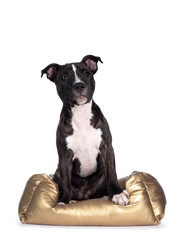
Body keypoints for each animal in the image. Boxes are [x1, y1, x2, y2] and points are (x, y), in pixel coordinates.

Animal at [41, 55, 129, 205]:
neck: (80, 113)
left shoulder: (106, 147)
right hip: (57, 174)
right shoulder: (65, 155)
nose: (79, 85)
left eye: (86, 74)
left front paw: (117, 193)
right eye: (64, 77)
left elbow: (112, 172)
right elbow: (65, 181)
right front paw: (63, 202)